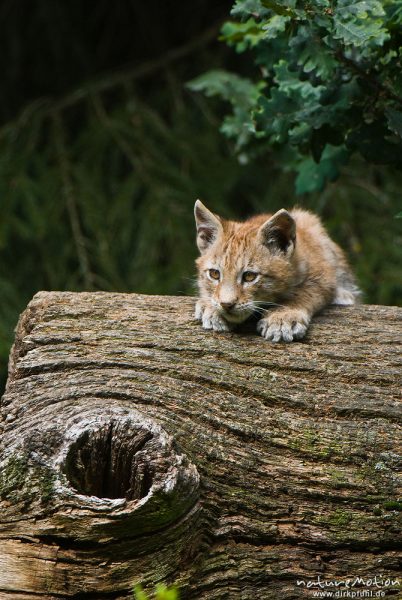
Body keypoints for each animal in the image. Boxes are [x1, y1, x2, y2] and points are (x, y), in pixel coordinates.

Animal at [193, 202, 360, 342]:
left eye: (249, 276)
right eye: (214, 274)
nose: (226, 305)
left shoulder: (323, 274)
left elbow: (304, 292)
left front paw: (283, 317)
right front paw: (210, 306)